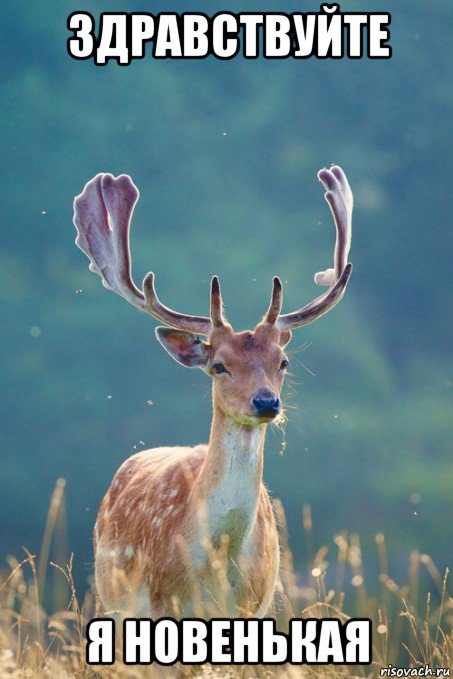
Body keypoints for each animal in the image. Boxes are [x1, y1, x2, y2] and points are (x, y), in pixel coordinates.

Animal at [73, 166, 354, 620]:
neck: (219, 561)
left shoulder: (255, 604)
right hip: (111, 597)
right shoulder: (161, 603)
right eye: (219, 365)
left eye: (282, 361)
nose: (266, 402)